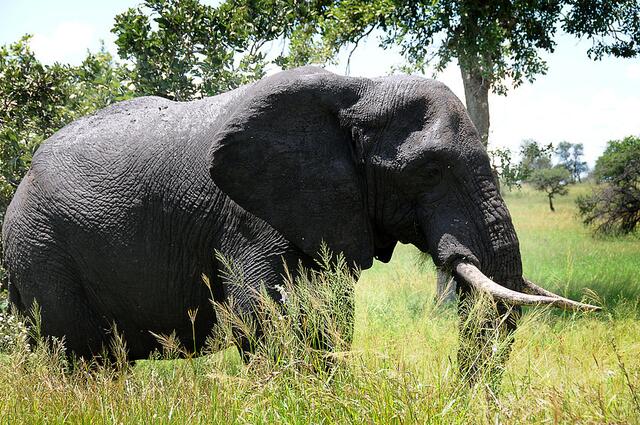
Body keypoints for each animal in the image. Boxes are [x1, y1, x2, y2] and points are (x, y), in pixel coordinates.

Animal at [2, 66, 597, 369]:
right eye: (429, 169)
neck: (362, 89)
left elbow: (330, 313)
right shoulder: (245, 215)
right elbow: (261, 314)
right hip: (40, 249)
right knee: (76, 356)